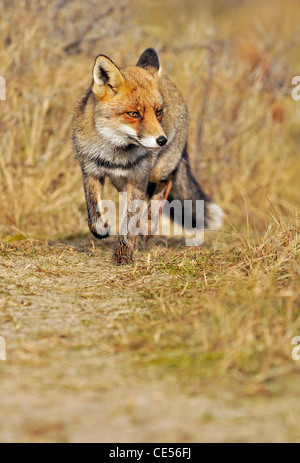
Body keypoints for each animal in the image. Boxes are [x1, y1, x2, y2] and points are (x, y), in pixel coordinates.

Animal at [72, 48, 223, 264]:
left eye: (158, 112)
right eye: (134, 114)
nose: (162, 140)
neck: (113, 153)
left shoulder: (138, 177)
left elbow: (129, 222)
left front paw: (123, 255)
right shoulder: (91, 171)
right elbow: (93, 211)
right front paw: (101, 229)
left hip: (156, 172)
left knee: (165, 185)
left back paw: (148, 227)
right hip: (120, 183)